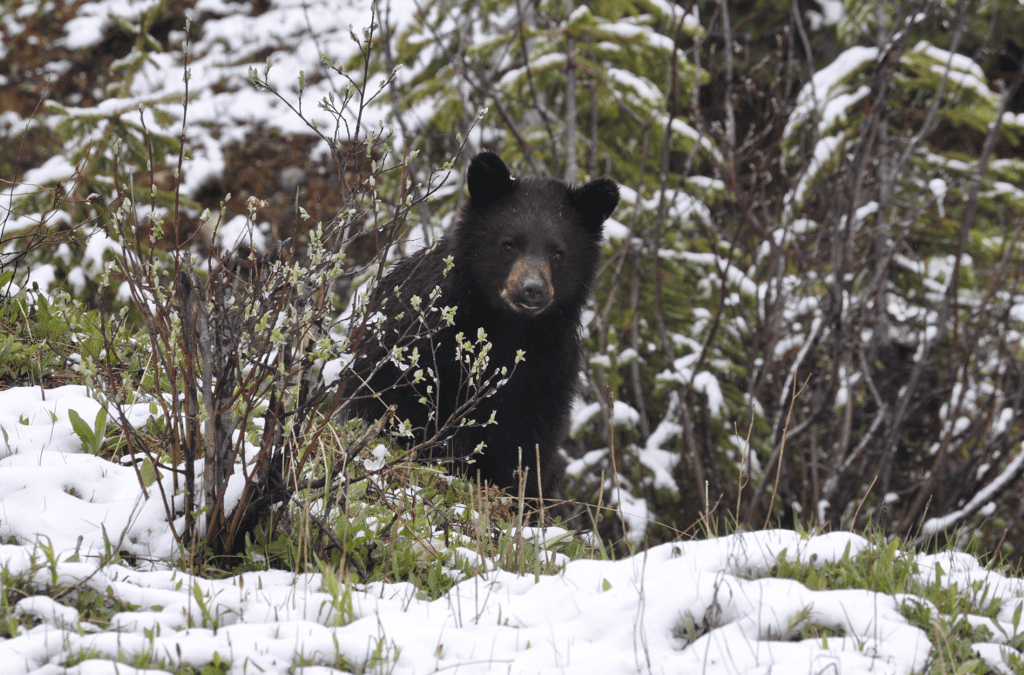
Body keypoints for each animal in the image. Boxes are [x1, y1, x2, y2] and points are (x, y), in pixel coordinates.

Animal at [342, 151, 619, 506]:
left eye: (558, 253)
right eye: (508, 245)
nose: (532, 289)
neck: (508, 326)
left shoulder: (548, 364)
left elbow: (529, 437)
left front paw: (520, 494)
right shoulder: (424, 340)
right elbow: (403, 399)